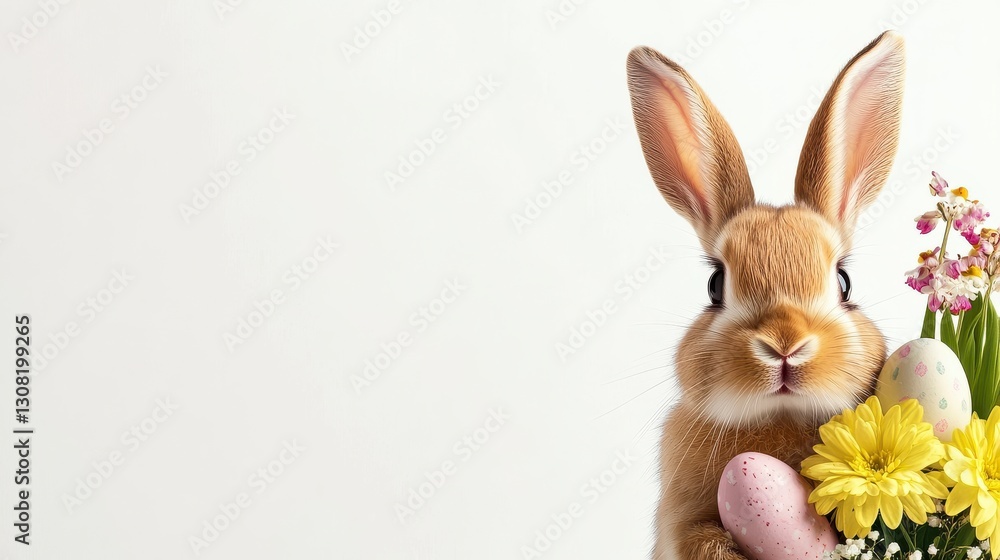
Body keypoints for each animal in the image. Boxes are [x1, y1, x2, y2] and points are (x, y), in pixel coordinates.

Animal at [625, 31, 905, 559]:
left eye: (844, 282)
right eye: (715, 285)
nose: (785, 345)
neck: (778, 417)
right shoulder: (681, 522)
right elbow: (701, 540)